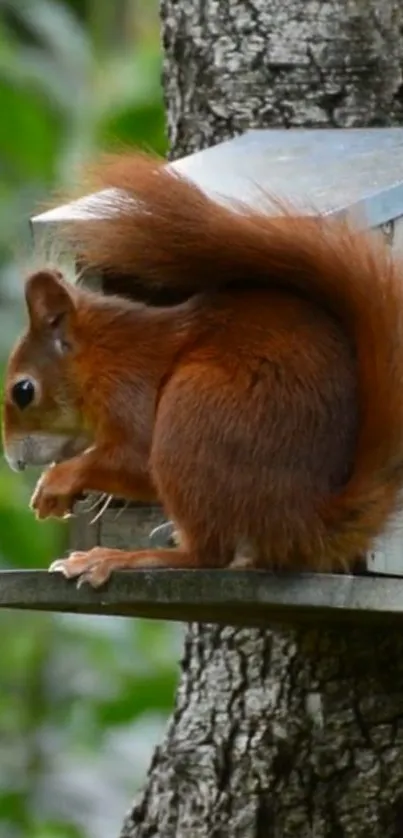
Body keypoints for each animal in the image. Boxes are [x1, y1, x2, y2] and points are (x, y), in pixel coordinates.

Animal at [2, 154, 403, 588]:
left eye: (23, 391)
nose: (13, 462)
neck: (103, 357)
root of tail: (306, 522)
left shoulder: (128, 387)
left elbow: (136, 459)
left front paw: (59, 481)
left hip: (193, 414)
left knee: (207, 554)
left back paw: (118, 558)